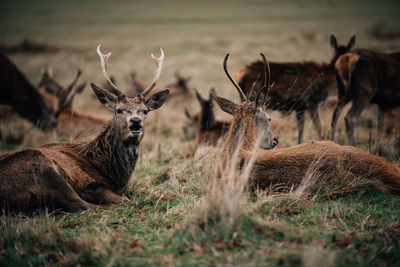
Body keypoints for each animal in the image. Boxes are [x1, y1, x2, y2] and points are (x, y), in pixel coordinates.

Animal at [0, 45, 169, 215]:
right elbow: (124, 199)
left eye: (145, 111)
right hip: (44, 169)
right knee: (81, 204)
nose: (135, 121)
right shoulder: (89, 184)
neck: (110, 170)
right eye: (118, 110)